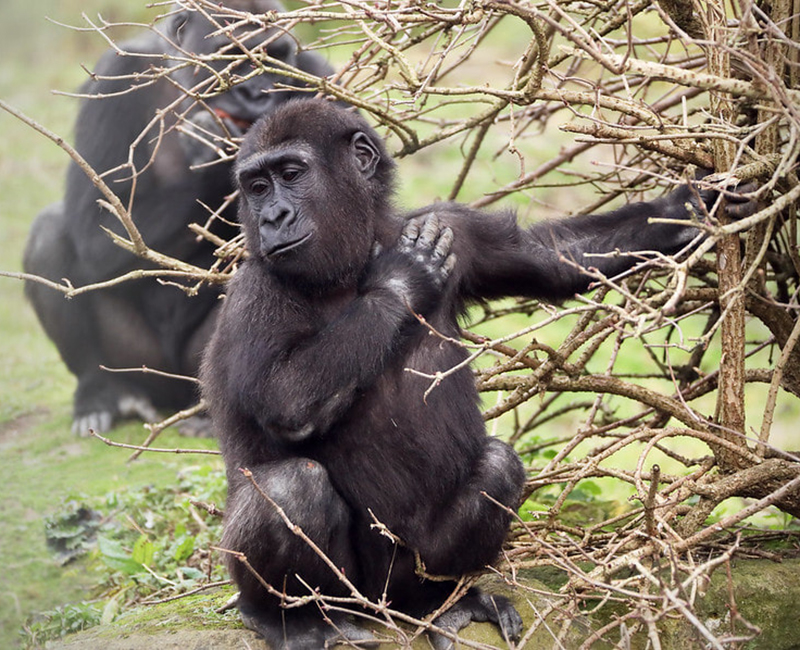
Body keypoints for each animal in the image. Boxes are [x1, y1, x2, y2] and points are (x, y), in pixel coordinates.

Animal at [23, 2, 332, 436]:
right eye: (231, 58)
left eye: (273, 58)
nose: (256, 93)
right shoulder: (114, 76)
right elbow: (93, 227)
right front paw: (219, 153)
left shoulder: (318, 74)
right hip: (141, 365)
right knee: (49, 231)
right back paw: (99, 390)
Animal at [200, 97, 756, 648]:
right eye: (256, 187)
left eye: (290, 174)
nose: (272, 216)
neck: (356, 254)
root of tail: (380, 607)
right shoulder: (253, 292)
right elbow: (287, 399)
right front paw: (403, 279)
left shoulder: (453, 226)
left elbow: (554, 258)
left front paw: (693, 206)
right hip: (348, 594)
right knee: (292, 487)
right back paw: (288, 619)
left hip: (408, 574)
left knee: (496, 468)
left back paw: (440, 603)